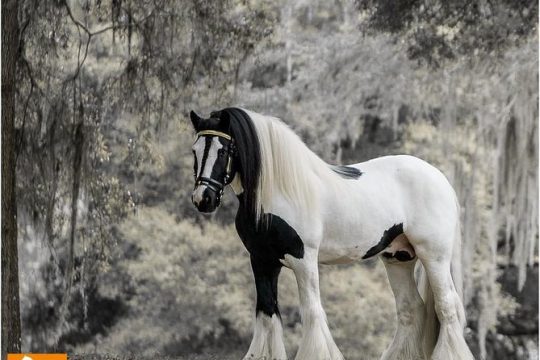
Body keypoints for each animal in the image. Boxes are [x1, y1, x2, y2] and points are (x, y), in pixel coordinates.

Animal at [189, 107, 472, 360]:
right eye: (194, 150)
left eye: (224, 150)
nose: (203, 199)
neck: (278, 193)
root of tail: (441, 179)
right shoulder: (262, 261)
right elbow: (266, 314)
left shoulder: (303, 260)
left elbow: (312, 311)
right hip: (398, 258)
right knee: (411, 309)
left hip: (434, 256)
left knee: (447, 306)